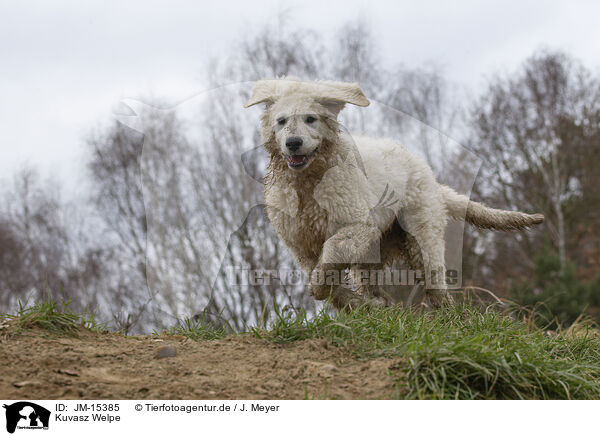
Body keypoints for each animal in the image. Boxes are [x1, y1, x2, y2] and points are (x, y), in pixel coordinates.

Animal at [244, 79, 544, 310]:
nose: (293, 143)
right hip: (378, 246)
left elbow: (331, 255)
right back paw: (377, 305)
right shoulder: (301, 244)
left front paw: (329, 293)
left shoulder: (357, 225)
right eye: (281, 121)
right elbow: (325, 278)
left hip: (420, 232)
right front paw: (352, 302)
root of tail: (431, 178)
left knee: (434, 281)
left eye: (311, 119)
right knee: (371, 281)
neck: (308, 183)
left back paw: (448, 315)